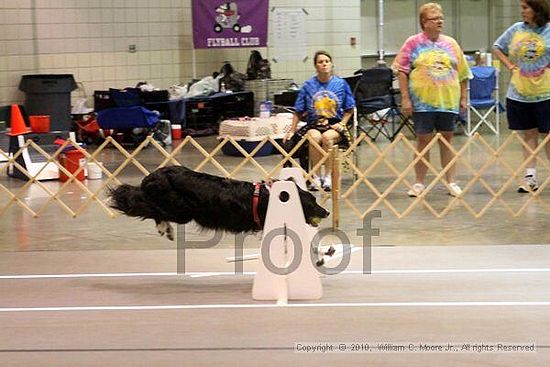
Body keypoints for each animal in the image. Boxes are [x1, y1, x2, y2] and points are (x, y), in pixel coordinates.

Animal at [110, 167, 330, 242]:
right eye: (312, 202)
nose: (327, 212)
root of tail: (153, 176)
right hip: (181, 210)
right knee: (145, 206)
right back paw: (165, 228)